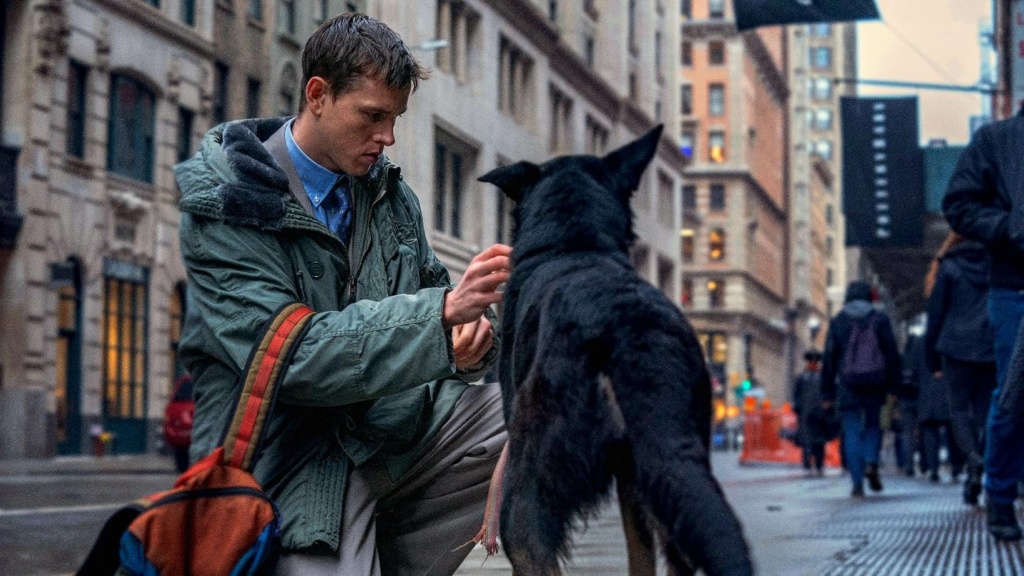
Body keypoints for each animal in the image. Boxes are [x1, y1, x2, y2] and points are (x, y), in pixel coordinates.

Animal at [473, 126, 753, 573]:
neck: (575, 241)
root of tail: (627, 328)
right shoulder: (631, 482)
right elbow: (639, 553)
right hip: (666, 472)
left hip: (528, 489)